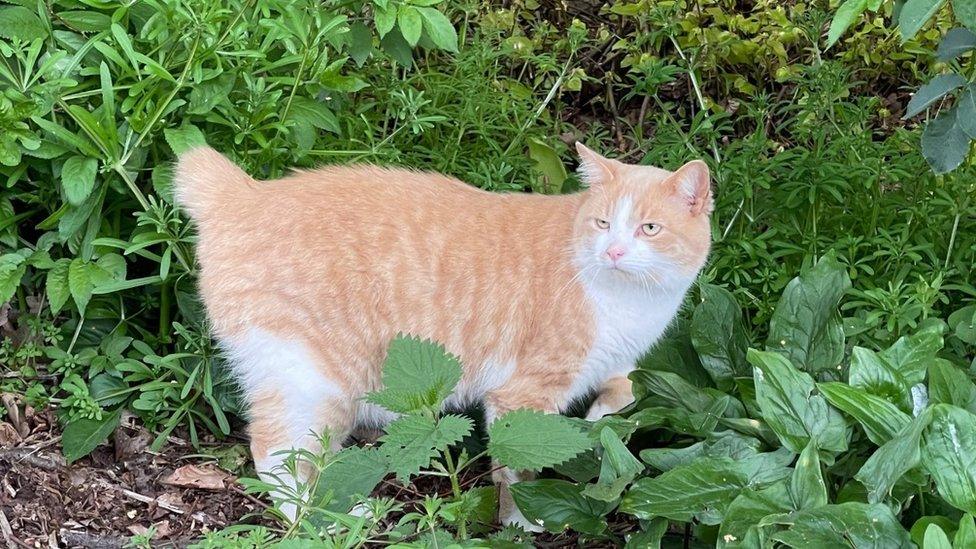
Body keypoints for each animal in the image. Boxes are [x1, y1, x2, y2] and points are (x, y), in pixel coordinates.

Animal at [172, 143, 712, 528]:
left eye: (648, 229)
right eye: (603, 223)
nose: (614, 252)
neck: (629, 299)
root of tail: (244, 192)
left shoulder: (621, 364)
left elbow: (628, 389)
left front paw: (603, 423)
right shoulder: (521, 398)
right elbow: (519, 469)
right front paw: (521, 521)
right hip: (316, 384)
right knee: (275, 456)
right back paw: (325, 521)